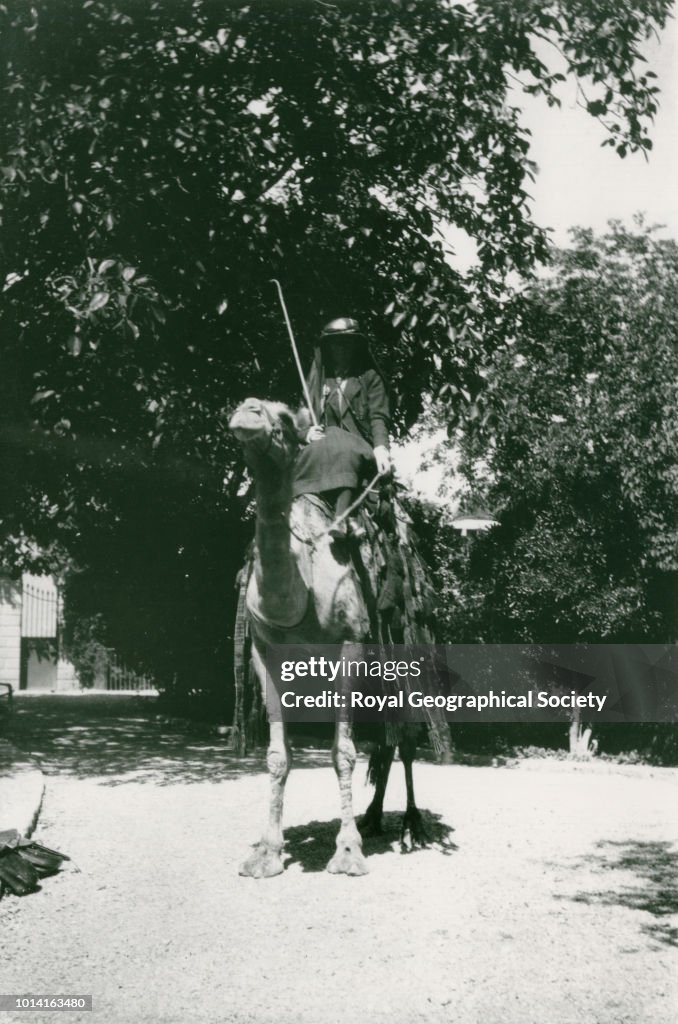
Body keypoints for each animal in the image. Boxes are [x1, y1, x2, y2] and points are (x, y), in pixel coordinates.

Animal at [228, 395, 440, 876]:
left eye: (284, 417)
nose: (247, 410)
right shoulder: (264, 650)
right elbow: (277, 756)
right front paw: (266, 853)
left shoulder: (350, 640)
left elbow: (342, 752)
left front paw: (347, 853)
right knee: (386, 740)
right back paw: (374, 817)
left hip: (403, 644)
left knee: (406, 738)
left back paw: (410, 827)